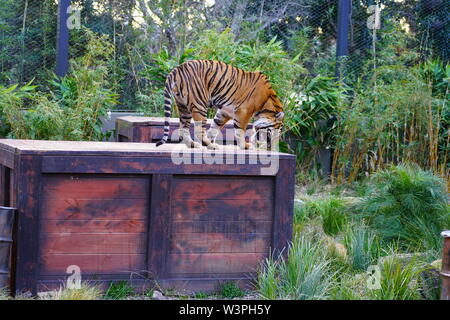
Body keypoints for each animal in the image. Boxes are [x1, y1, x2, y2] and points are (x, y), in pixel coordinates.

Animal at [156, 59, 284, 149]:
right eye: (274, 131)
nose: (269, 146)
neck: (267, 103)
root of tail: (177, 69)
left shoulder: (224, 112)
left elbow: (214, 127)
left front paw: (210, 138)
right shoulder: (243, 111)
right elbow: (240, 130)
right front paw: (245, 146)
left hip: (183, 106)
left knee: (183, 128)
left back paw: (194, 145)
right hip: (199, 105)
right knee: (198, 130)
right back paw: (211, 146)